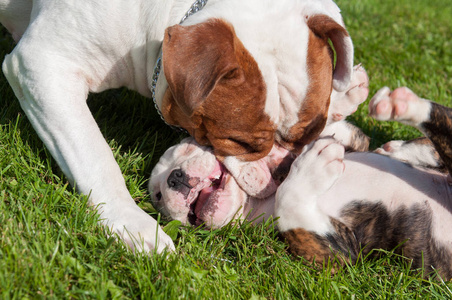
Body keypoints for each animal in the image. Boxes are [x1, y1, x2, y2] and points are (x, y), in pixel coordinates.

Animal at [0, 0, 354, 253]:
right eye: (240, 143)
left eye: (308, 134)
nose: (286, 165)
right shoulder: (42, 65)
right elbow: (94, 154)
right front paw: (131, 222)